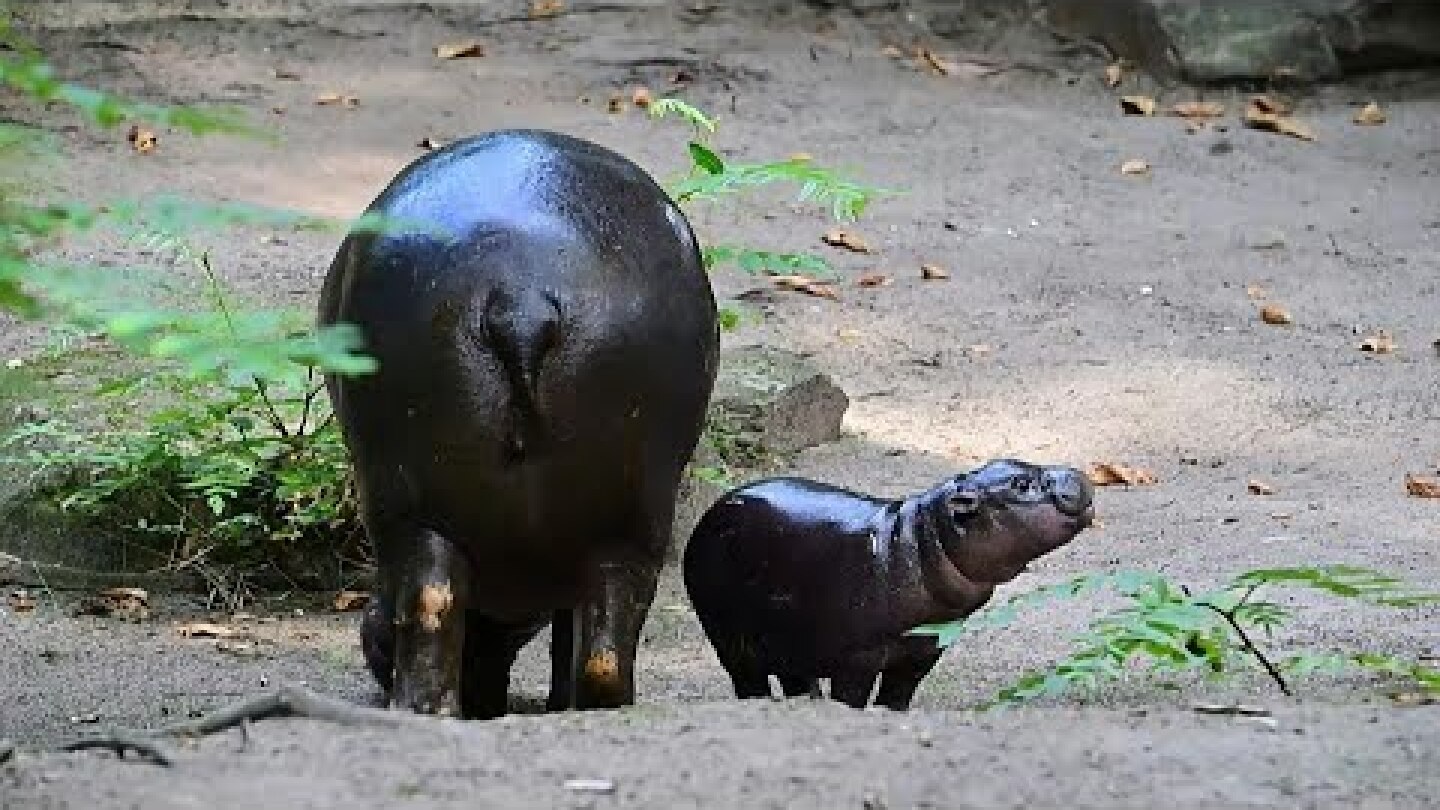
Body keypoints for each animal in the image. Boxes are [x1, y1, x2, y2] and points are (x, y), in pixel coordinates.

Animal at [320, 129, 719, 718]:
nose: (371, 634)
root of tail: (520, 296)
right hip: (628, 515)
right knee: (599, 644)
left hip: (404, 500)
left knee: (432, 604)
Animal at [682, 459, 1094, 710]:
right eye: (1021, 484)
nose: (1078, 475)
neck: (923, 538)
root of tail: (707, 515)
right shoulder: (857, 659)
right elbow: (852, 699)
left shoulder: (923, 653)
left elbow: (896, 700)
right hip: (731, 641)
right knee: (748, 682)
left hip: (789, 640)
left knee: (795, 679)